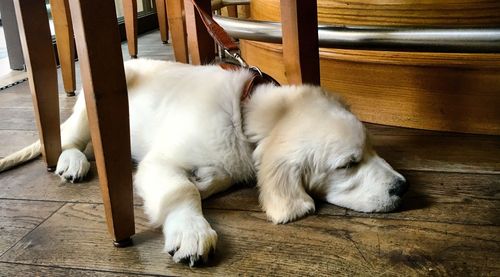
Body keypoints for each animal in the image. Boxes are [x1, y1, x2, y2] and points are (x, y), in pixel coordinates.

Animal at [0, 58, 406, 266]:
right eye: (346, 165)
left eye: (371, 150)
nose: (402, 188)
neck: (243, 115)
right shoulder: (159, 162)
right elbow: (180, 190)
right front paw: (191, 231)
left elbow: (219, 175)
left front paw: (205, 181)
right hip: (91, 108)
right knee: (70, 138)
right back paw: (71, 162)